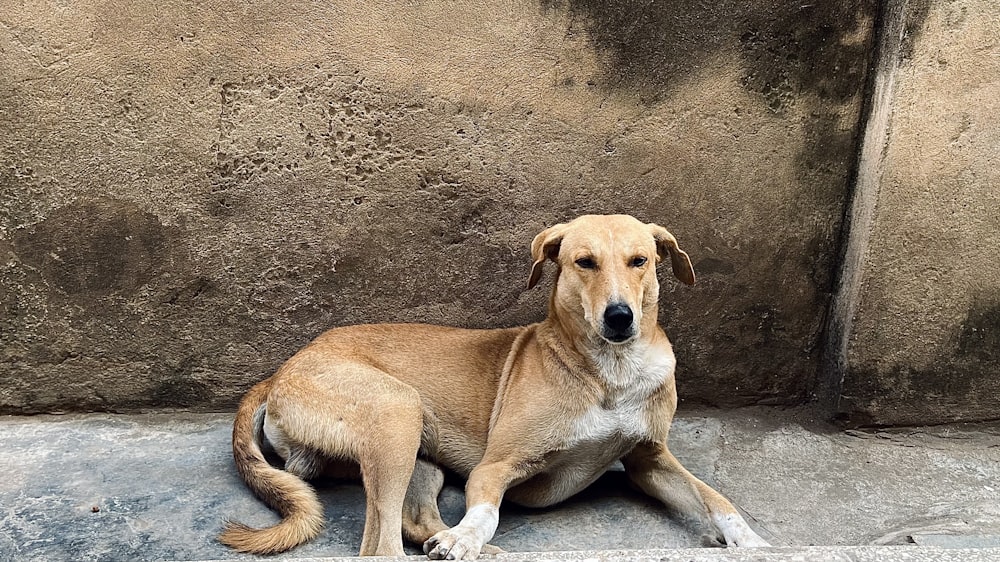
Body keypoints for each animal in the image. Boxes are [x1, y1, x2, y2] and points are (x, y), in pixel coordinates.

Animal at [219, 213, 764, 556]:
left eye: (640, 261)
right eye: (584, 262)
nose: (619, 317)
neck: (610, 373)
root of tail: (280, 370)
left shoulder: (651, 460)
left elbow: (715, 498)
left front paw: (752, 541)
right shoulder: (495, 468)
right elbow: (485, 511)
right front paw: (465, 537)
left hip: (421, 461)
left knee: (414, 522)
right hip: (397, 410)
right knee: (380, 547)